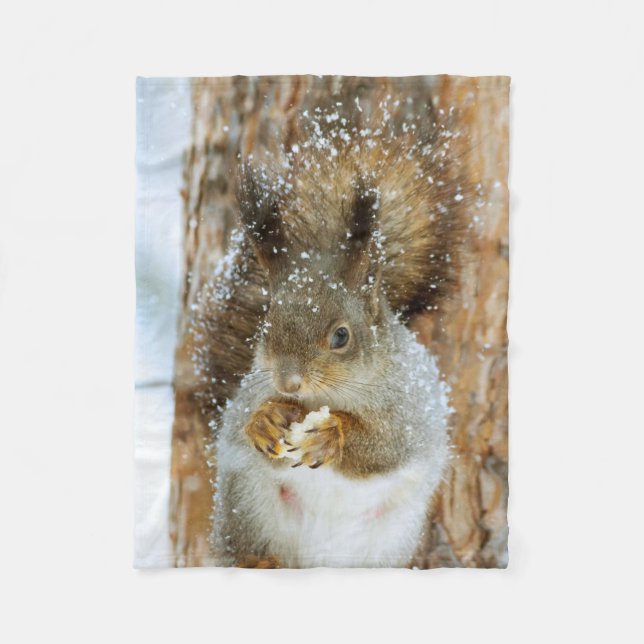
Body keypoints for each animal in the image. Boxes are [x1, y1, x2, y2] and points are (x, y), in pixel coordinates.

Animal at [190, 106, 471, 567]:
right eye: (266, 324)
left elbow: (386, 446)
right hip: (245, 504)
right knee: (244, 551)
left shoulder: (411, 409)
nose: (288, 382)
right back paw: (260, 560)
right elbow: (239, 422)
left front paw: (331, 435)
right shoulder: (249, 393)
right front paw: (264, 422)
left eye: (341, 336)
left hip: (388, 538)